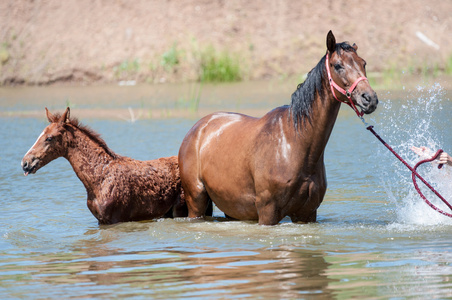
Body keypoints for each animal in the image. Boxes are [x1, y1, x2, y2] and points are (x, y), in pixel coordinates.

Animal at [20, 107, 187, 223]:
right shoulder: (101, 220)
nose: (25, 163)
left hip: (182, 209)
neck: (96, 180)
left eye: (49, 138)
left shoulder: (115, 219)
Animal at [178, 32, 380, 225]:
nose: (369, 98)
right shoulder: (268, 212)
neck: (294, 142)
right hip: (196, 201)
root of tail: (198, 129)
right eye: (338, 65)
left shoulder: (307, 213)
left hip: (233, 207)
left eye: (363, 63)